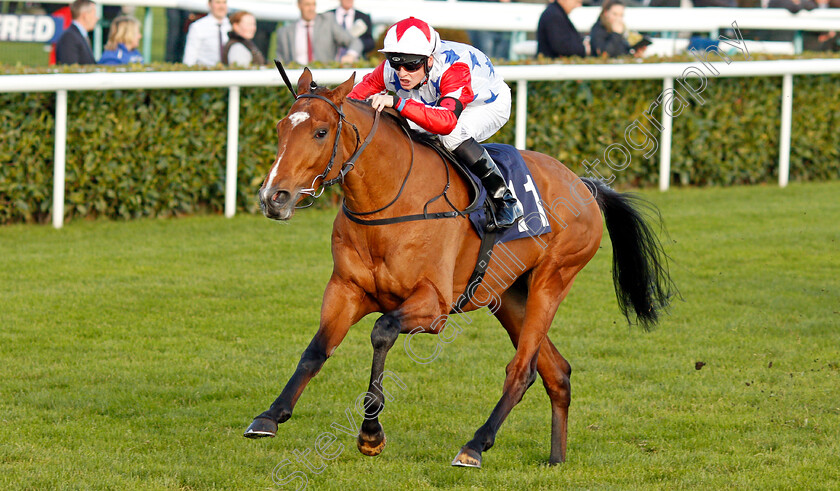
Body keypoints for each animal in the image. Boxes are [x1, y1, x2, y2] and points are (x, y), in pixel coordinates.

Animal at [244, 67, 676, 468]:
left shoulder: (433, 306)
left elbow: (382, 331)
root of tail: (584, 185)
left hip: (552, 281)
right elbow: (316, 350)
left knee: (522, 370)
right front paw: (269, 416)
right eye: (281, 128)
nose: (273, 197)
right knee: (557, 371)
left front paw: (370, 434)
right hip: (508, 295)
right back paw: (556, 458)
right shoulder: (345, 290)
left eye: (320, 132)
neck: (390, 201)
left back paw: (475, 445)